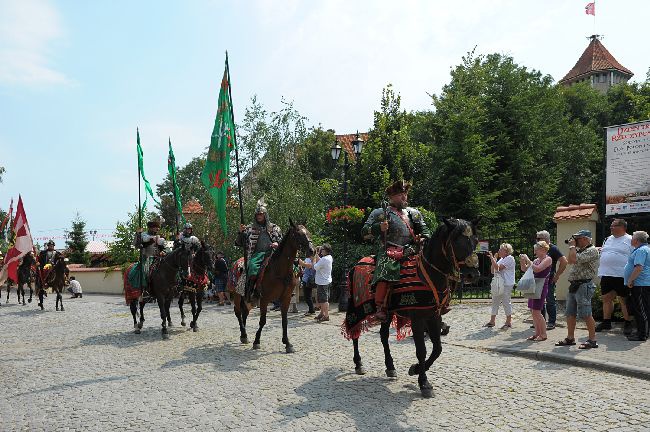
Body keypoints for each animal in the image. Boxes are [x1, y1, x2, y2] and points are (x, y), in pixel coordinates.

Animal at [233, 221, 314, 352]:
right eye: (298, 234)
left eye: (308, 232)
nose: (312, 251)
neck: (280, 270)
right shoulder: (264, 299)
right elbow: (262, 321)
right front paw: (257, 341)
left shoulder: (286, 298)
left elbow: (285, 320)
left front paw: (287, 343)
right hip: (237, 295)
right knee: (238, 312)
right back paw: (244, 334)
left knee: (244, 312)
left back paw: (244, 335)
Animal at [342, 218, 478, 396]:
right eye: (458, 242)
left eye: (475, 241)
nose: (473, 274)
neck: (426, 273)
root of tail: (356, 265)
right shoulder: (418, 319)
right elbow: (422, 350)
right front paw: (424, 383)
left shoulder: (434, 316)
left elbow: (437, 349)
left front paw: (415, 369)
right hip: (355, 308)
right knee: (355, 333)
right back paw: (358, 363)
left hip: (387, 313)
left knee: (383, 336)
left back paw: (390, 367)